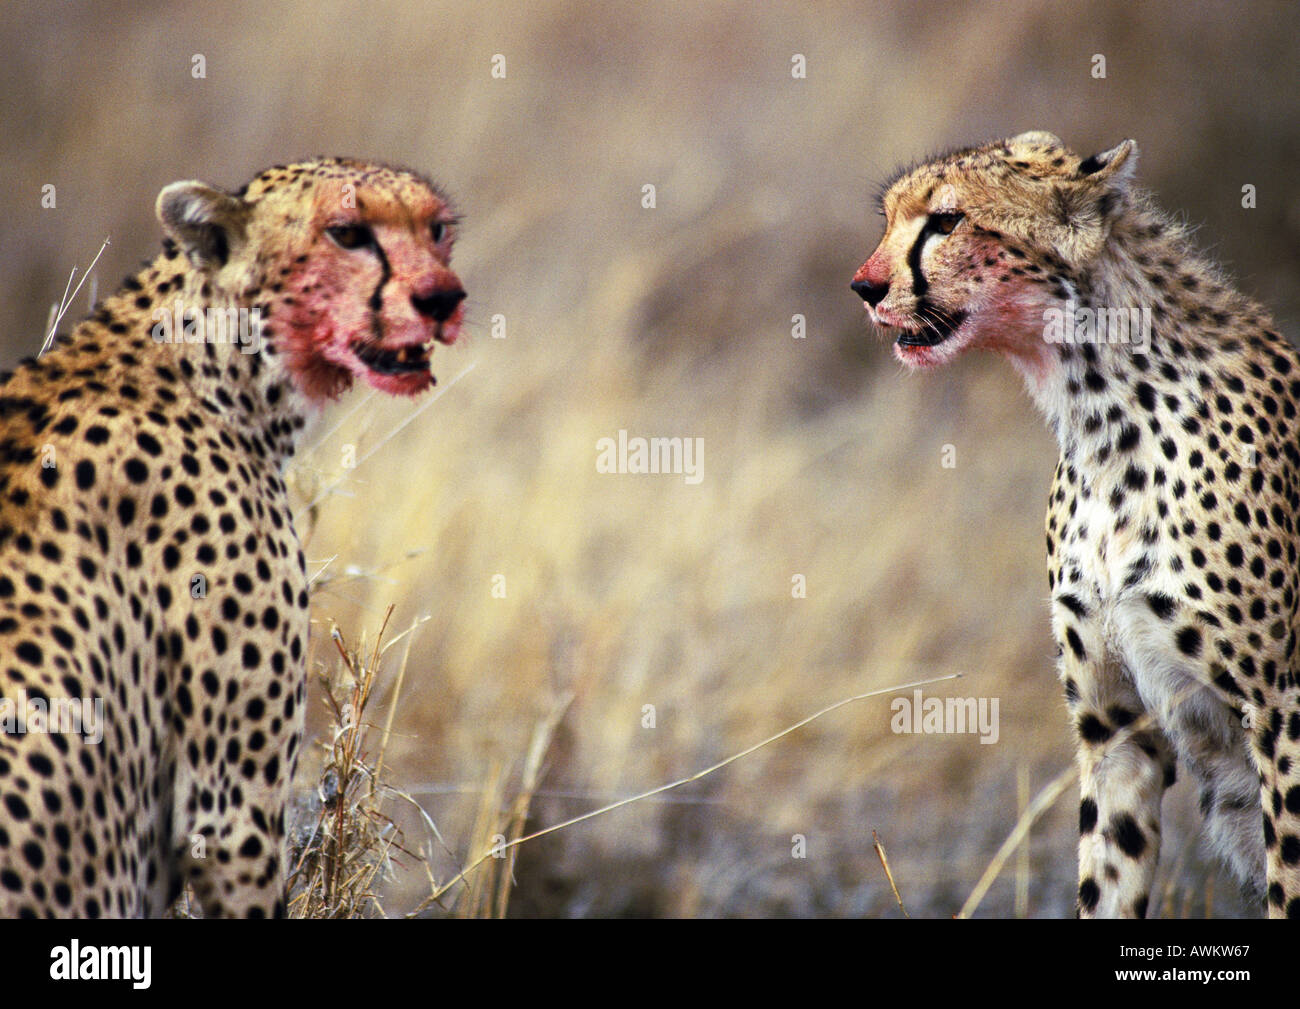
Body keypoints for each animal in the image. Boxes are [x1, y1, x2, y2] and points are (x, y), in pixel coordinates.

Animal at [852, 130, 1300, 920]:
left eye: (947, 221)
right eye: (889, 220)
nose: (863, 285)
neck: (1101, 412)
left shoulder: (1281, 711)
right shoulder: (1114, 727)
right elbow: (1108, 870)